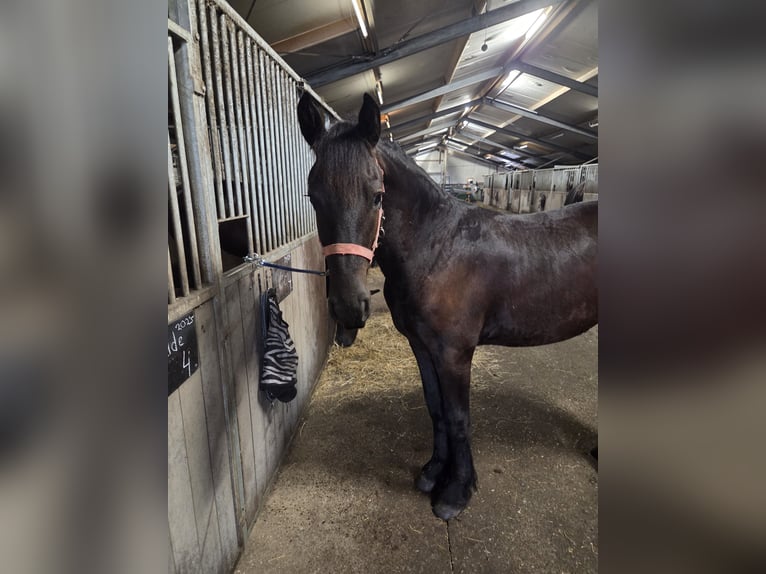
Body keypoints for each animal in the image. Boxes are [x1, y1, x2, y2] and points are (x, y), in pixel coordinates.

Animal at [297, 93, 598, 520]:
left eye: (377, 195)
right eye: (313, 196)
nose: (348, 306)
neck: (438, 247)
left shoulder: (454, 353)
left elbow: (458, 418)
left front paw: (456, 491)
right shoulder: (422, 347)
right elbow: (435, 408)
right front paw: (432, 472)